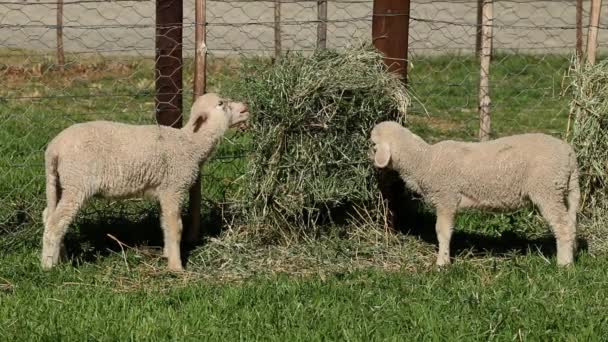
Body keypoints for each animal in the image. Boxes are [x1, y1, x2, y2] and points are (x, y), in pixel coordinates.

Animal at [41, 92, 248, 272]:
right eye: (221, 104)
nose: (245, 108)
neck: (190, 144)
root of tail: (54, 148)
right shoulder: (174, 188)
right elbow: (175, 227)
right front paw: (176, 267)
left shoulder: (165, 190)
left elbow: (165, 224)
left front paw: (167, 255)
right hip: (77, 183)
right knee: (56, 223)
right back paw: (48, 266)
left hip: (59, 182)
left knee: (49, 216)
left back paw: (61, 258)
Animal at [368, 121, 580, 268]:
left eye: (373, 144)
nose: (369, 158)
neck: (424, 161)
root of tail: (570, 154)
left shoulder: (446, 197)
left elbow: (442, 231)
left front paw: (442, 263)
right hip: (563, 190)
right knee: (571, 223)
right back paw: (572, 254)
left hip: (547, 189)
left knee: (562, 226)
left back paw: (564, 264)